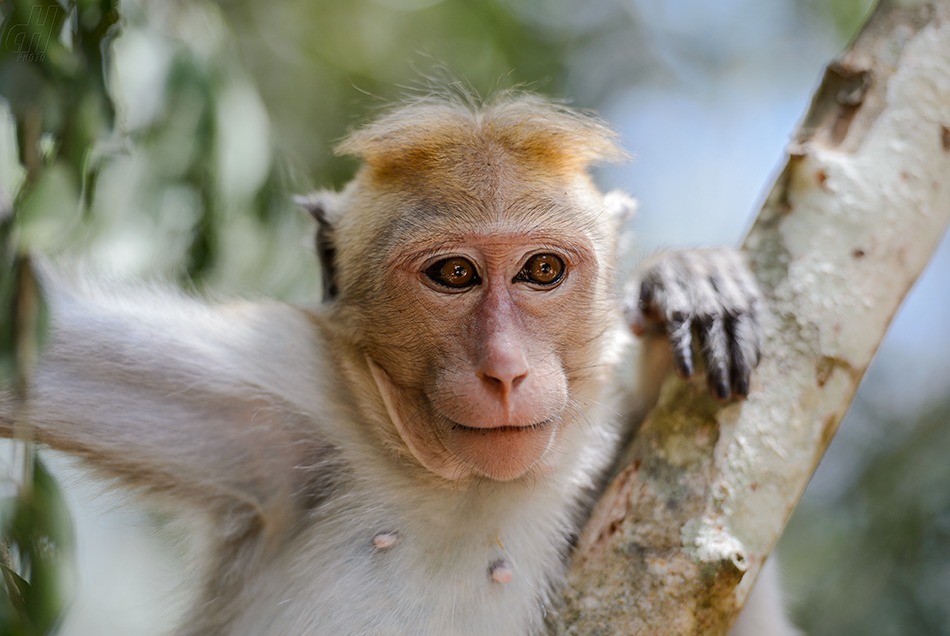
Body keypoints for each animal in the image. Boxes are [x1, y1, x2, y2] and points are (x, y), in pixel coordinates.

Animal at [0, 92, 796, 632]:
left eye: (541, 271)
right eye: (454, 275)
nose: (505, 370)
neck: (462, 488)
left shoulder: (599, 451)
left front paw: (688, 282)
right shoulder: (279, 391)